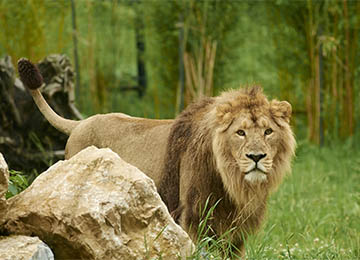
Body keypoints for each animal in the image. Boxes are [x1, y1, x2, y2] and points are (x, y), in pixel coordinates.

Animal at [17, 57, 296, 256]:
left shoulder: (236, 231)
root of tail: (81, 123)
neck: (232, 182)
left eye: (268, 131)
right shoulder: (190, 217)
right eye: (240, 132)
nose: (256, 156)